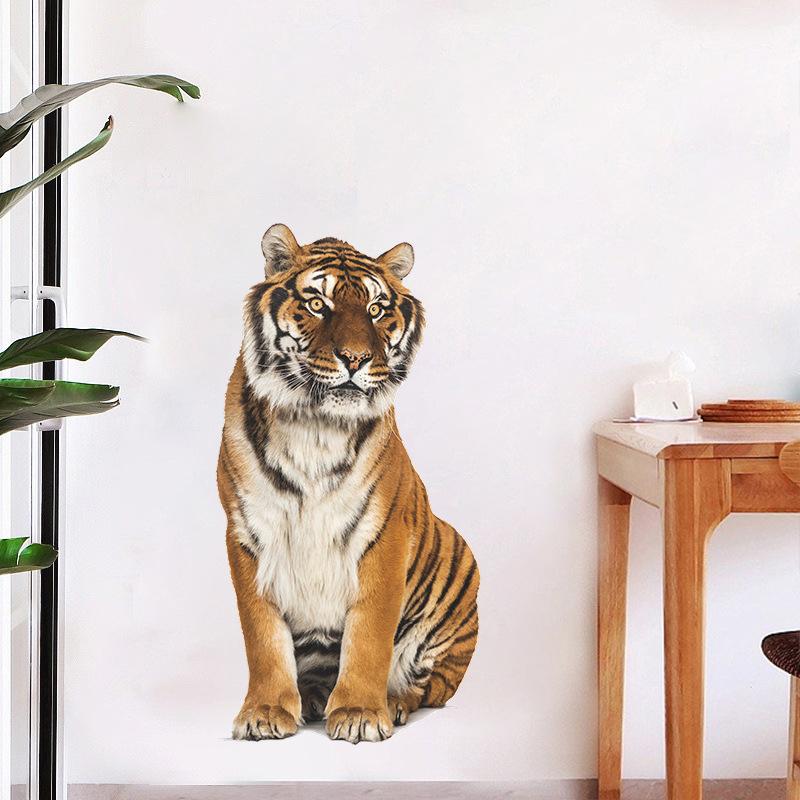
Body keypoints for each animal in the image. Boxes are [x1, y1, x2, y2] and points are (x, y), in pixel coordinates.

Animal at [217, 224, 479, 744]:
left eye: (376, 310)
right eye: (318, 303)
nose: (356, 359)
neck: (315, 425)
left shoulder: (383, 534)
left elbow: (370, 633)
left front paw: (359, 712)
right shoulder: (247, 531)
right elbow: (261, 634)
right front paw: (265, 712)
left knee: (428, 687)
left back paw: (391, 702)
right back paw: (313, 698)